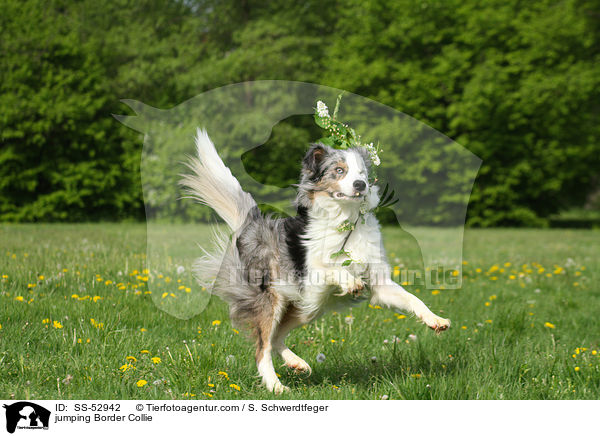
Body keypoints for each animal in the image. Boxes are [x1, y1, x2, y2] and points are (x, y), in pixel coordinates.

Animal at [180, 127, 448, 394]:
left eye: (362, 172)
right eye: (339, 170)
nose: (360, 184)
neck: (345, 219)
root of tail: (253, 223)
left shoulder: (379, 281)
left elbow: (411, 298)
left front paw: (435, 320)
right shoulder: (311, 279)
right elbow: (331, 268)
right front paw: (350, 281)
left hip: (307, 307)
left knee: (275, 337)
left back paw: (296, 363)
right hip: (275, 299)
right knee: (262, 347)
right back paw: (276, 386)